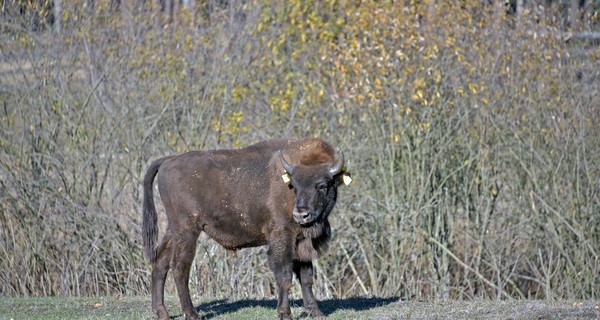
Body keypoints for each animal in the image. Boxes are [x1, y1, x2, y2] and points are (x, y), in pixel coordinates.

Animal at [142, 138, 352, 320]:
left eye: (322, 186)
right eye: (294, 185)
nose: (301, 214)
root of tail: (168, 161)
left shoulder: (302, 242)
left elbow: (307, 278)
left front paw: (316, 312)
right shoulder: (282, 238)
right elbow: (284, 276)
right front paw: (285, 314)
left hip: (174, 230)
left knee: (160, 262)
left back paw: (161, 312)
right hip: (187, 230)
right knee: (179, 267)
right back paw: (192, 314)